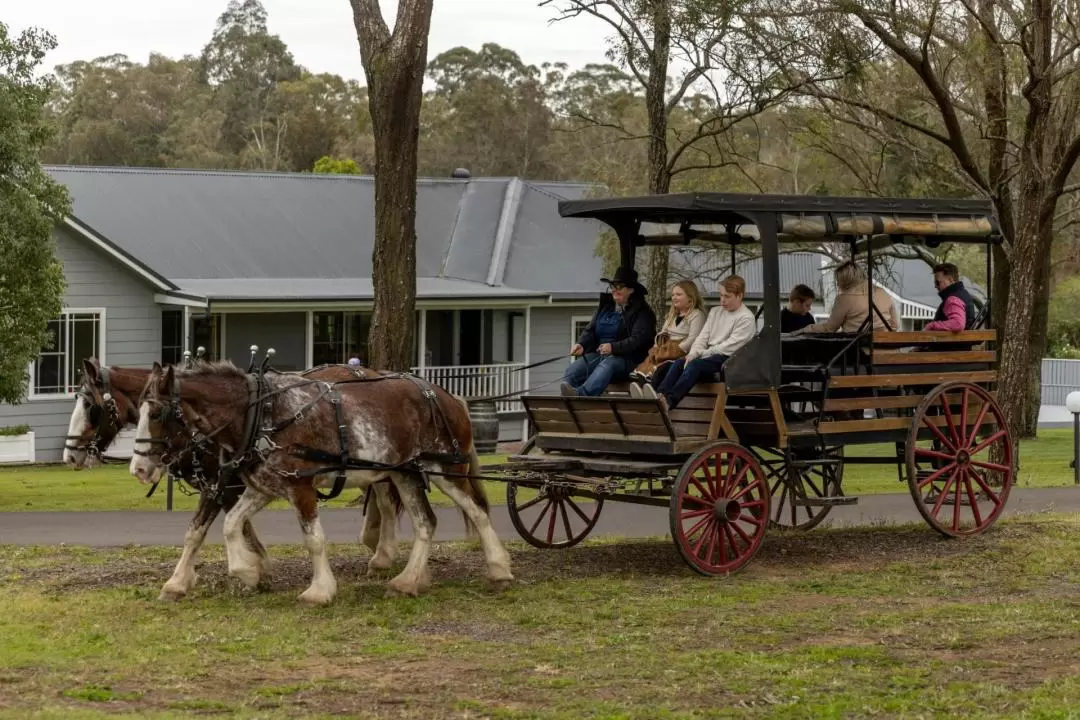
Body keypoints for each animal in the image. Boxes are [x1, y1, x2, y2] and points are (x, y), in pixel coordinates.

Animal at [62, 360, 455, 604]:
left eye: (90, 406)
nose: (69, 455)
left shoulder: (222, 483)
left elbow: (206, 530)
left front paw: (249, 568)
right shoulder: (237, 483)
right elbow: (220, 527)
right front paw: (241, 568)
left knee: (389, 500)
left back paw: (385, 555)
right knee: (388, 499)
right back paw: (387, 556)